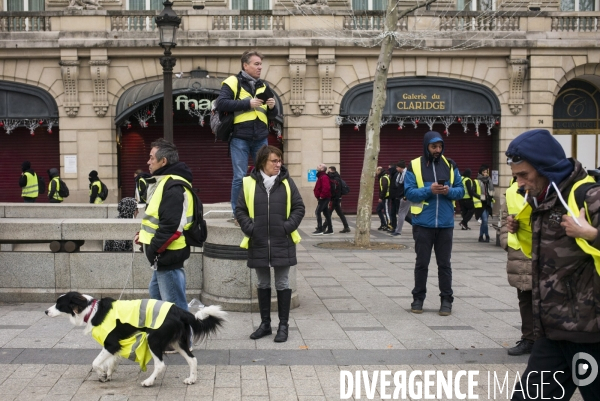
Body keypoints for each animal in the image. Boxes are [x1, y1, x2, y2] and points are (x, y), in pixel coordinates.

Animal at [45, 292, 227, 386]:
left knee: (160, 365)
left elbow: (96, 362)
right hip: (178, 342)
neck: (92, 311)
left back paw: (149, 381)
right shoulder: (115, 346)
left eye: (58, 304)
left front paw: (102, 374)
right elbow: (111, 361)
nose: (46, 312)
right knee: (192, 359)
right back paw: (192, 379)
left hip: (154, 340)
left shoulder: (110, 343)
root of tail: (179, 310)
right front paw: (108, 374)